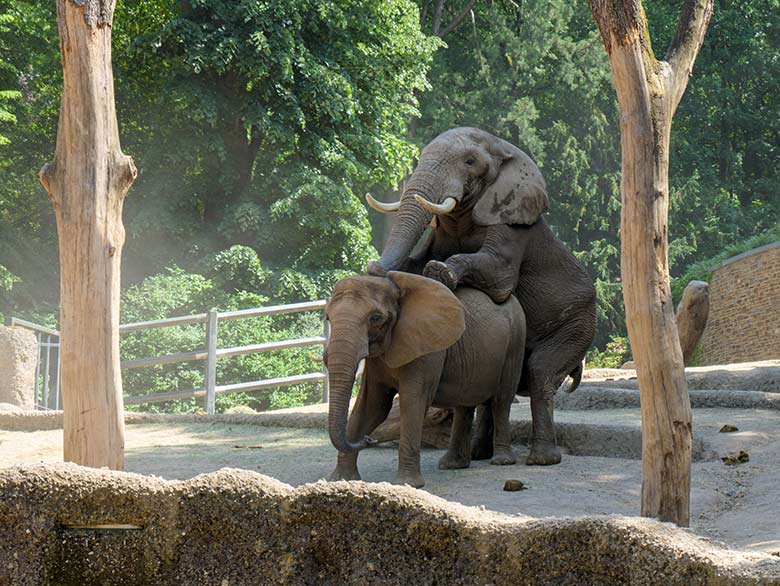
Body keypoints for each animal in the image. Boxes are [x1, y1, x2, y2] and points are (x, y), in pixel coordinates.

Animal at [322, 270, 524, 488]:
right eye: (328, 317)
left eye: (376, 318)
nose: (369, 440)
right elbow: (372, 406)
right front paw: (340, 480)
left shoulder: (427, 349)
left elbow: (412, 403)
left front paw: (408, 484)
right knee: (464, 406)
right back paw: (452, 464)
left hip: (515, 343)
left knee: (501, 401)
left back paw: (501, 461)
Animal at [366, 126, 596, 466]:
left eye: (470, 162)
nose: (373, 266)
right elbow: (416, 263)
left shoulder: (511, 222)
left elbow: (499, 276)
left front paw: (439, 271)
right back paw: (478, 454)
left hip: (578, 325)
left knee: (540, 372)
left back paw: (541, 459)